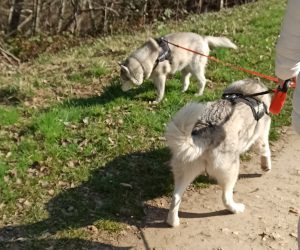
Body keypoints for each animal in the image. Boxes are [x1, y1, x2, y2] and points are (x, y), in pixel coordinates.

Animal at [164, 78, 272, 227]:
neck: (247, 92)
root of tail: (203, 132)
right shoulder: (261, 135)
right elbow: (266, 150)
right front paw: (266, 166)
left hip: (184, 171)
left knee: (175, 197)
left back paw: (173, 221)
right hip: (232, 170)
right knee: (226, 197)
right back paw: (235, 208)